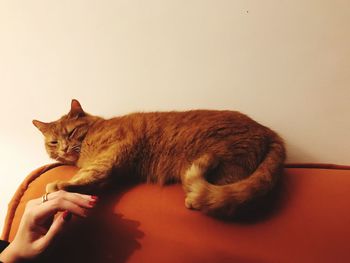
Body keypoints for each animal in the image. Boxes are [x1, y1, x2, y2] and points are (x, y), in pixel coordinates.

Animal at [32, 100, 284, 218]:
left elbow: (89, 174)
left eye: (71, 133)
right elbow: (94, 180)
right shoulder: (115, 170)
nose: (64, 148)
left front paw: (59, 186)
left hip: (227, 165)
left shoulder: (112, 153)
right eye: (53, 142)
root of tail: (267, 130)